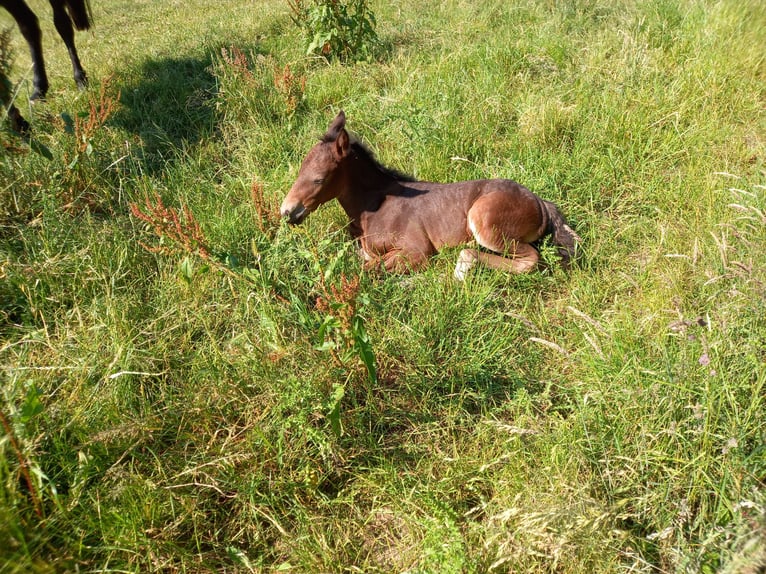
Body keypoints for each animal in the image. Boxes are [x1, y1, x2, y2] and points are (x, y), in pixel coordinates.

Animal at [284, 111, 584, 280]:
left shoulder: (416, 251)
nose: (287, 211)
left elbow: (366, 271)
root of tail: (539, 202)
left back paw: (462, 267)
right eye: (299, 170)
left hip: (486, 222)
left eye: (319, 178)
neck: (374, 206)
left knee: (530, 260)